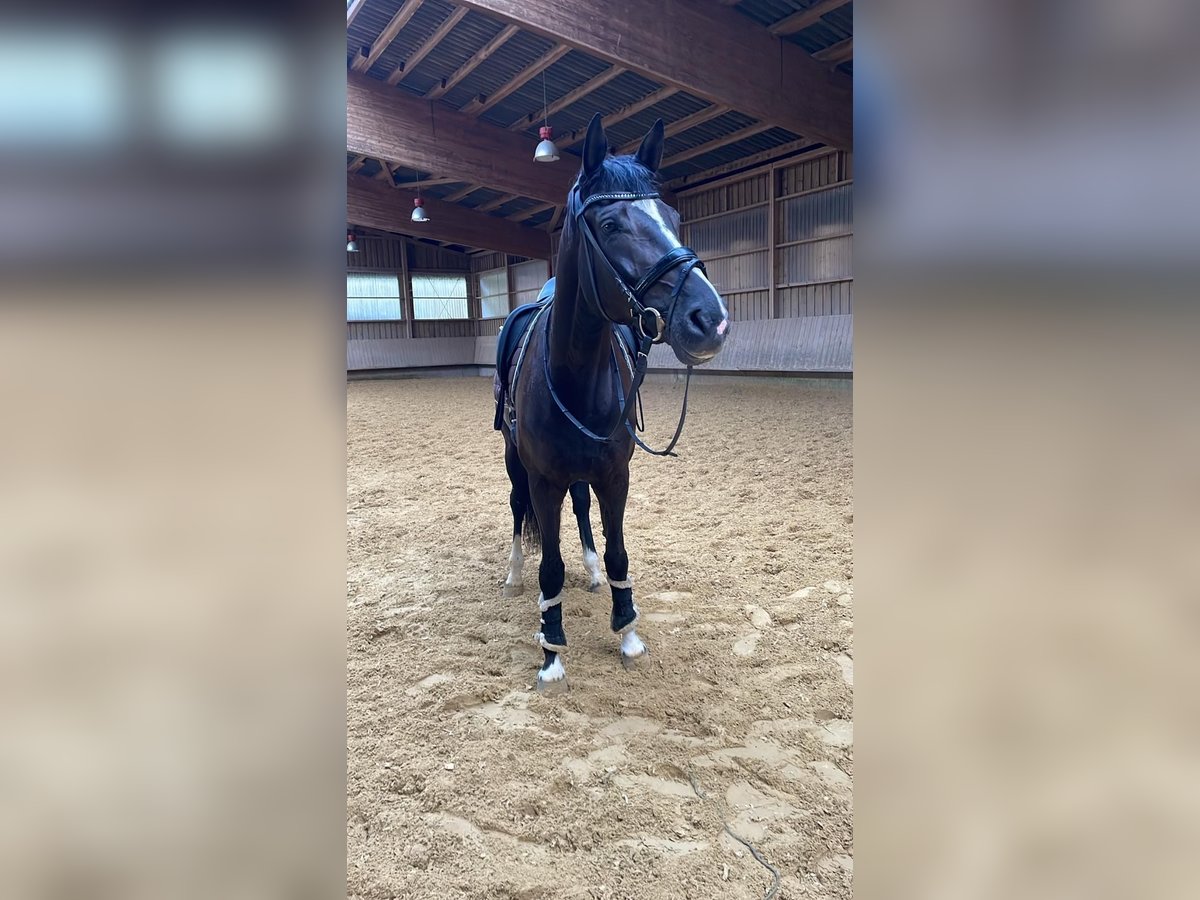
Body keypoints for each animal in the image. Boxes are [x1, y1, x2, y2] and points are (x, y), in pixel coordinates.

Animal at [495, 112, 730, 693]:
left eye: (673, 216)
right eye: (610, 226)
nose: (710, 320)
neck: (576, 375)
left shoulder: (614, 474)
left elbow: (620, 550)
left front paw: (627, 632)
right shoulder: (543, 479)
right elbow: (550, 567)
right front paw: (551, 651)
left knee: (581, 509)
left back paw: (593, 570)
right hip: (514, 463)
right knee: (516, 509)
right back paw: (513, 576)